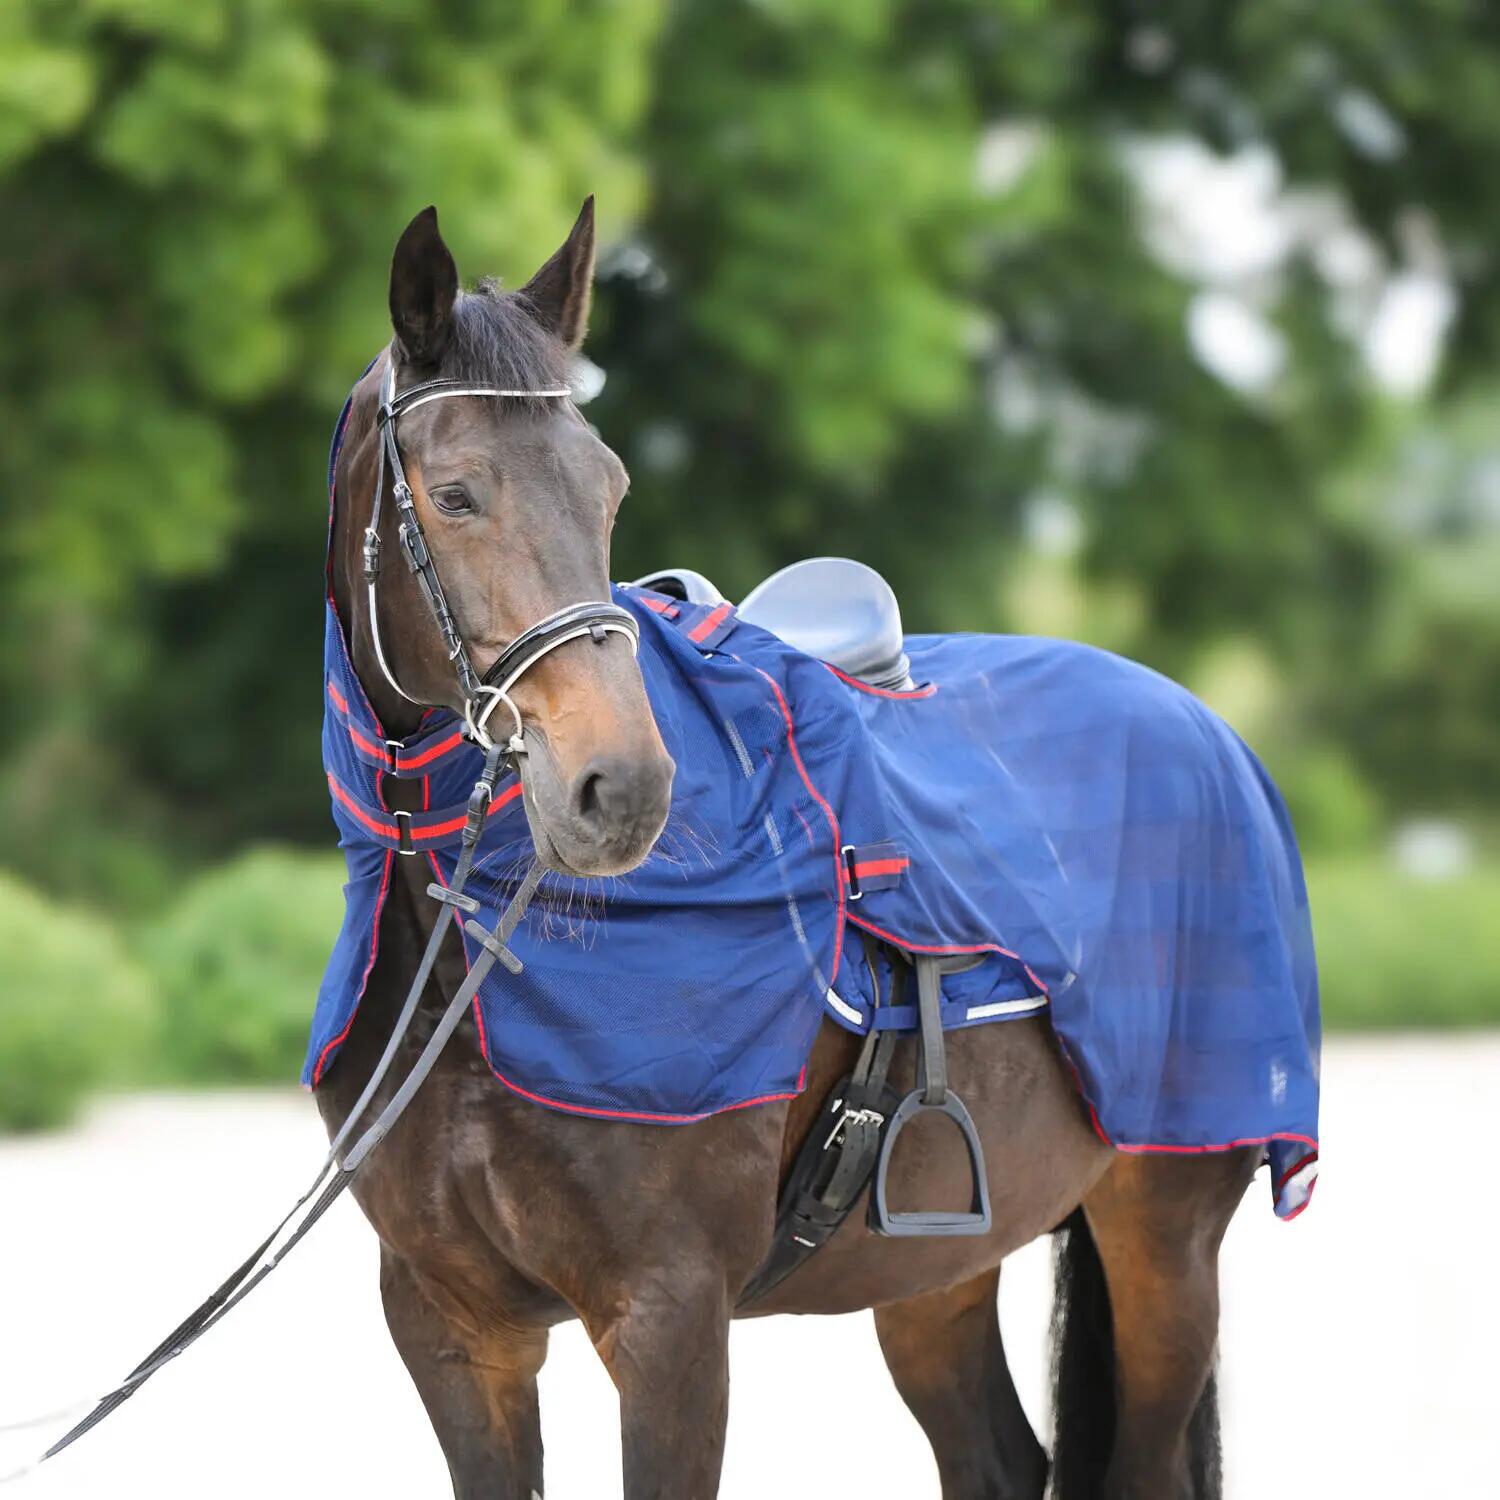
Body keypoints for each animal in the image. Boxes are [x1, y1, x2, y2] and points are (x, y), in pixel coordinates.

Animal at [318, 200, 1277, 1500]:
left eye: (608, 488)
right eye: (457, 495)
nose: (620, 788)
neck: (471, 983)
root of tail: (1206, 730)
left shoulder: (669, 1322)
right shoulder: (455, 1326)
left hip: (1163, 1237)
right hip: (933, 1263)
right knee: (994, 1458)